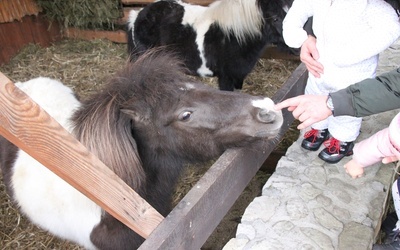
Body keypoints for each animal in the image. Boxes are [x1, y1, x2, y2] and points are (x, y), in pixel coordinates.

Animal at [126, 0, 298, 91]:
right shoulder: (226, 78)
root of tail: (137, 15)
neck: (234, 35)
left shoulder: (238, 77)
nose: (297, 47)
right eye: (275, 18)